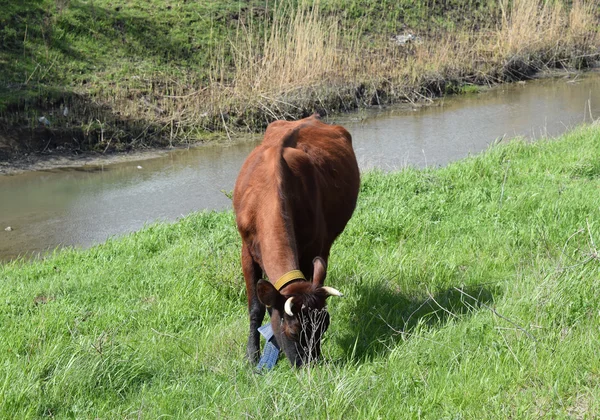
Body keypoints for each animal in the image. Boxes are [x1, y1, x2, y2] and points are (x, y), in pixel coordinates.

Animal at [232, 115, 358, 368]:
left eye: (324, 326)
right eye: (292, 332)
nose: (311, 365)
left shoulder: (311, 250)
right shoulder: (246, 251)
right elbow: (255, 309)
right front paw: (252, 356)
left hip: (325, 243)